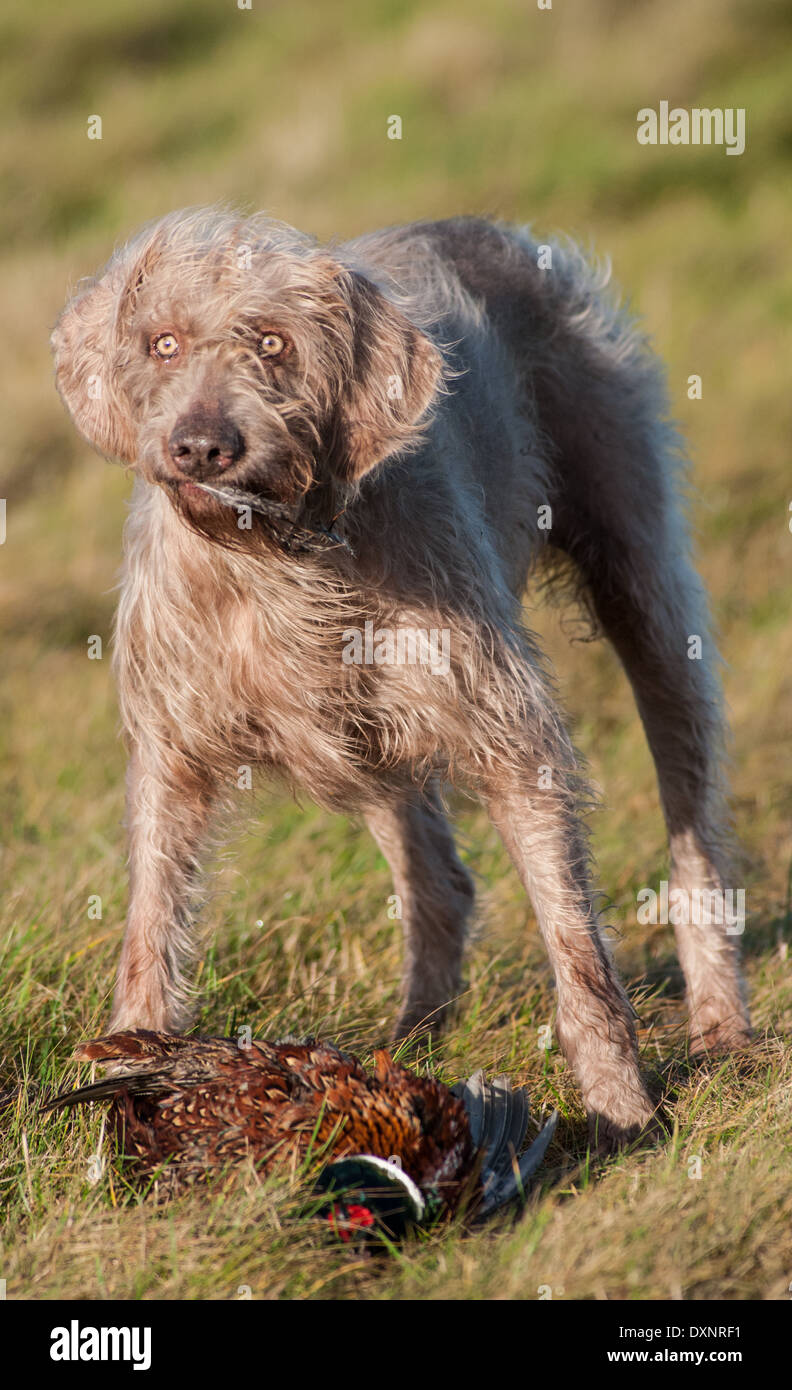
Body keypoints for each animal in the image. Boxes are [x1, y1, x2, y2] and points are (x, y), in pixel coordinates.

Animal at [50, 202, 744, 1139]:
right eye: (162, 343)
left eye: (273, 344)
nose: (201, 446)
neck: (277, 562)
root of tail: (492, 229)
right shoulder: (175, 756)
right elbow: (150, 927)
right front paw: (128, 1084)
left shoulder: (510, 734)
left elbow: (575, 942)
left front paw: (618, 1103)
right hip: (368, 745)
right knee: (441, 883)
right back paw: (409, 1042)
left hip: (646, 592)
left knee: (691, 820)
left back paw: (721, 1022)